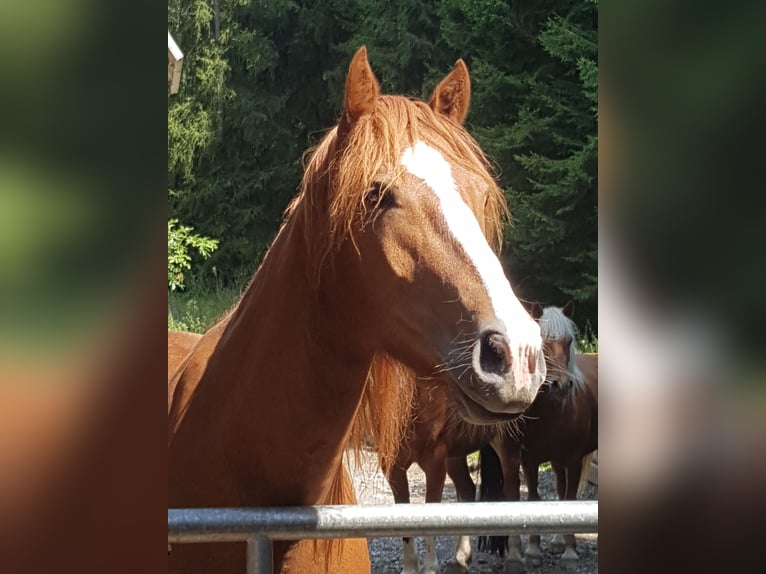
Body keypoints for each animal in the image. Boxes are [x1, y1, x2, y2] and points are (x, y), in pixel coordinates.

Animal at [480, 304, 600, 572]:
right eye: (541, 343)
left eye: (569, 341)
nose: (561, 385)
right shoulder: (530, 460)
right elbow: (534, 499)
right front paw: (533, 551)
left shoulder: (573, 460)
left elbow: (569, 500)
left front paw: (570, 554)